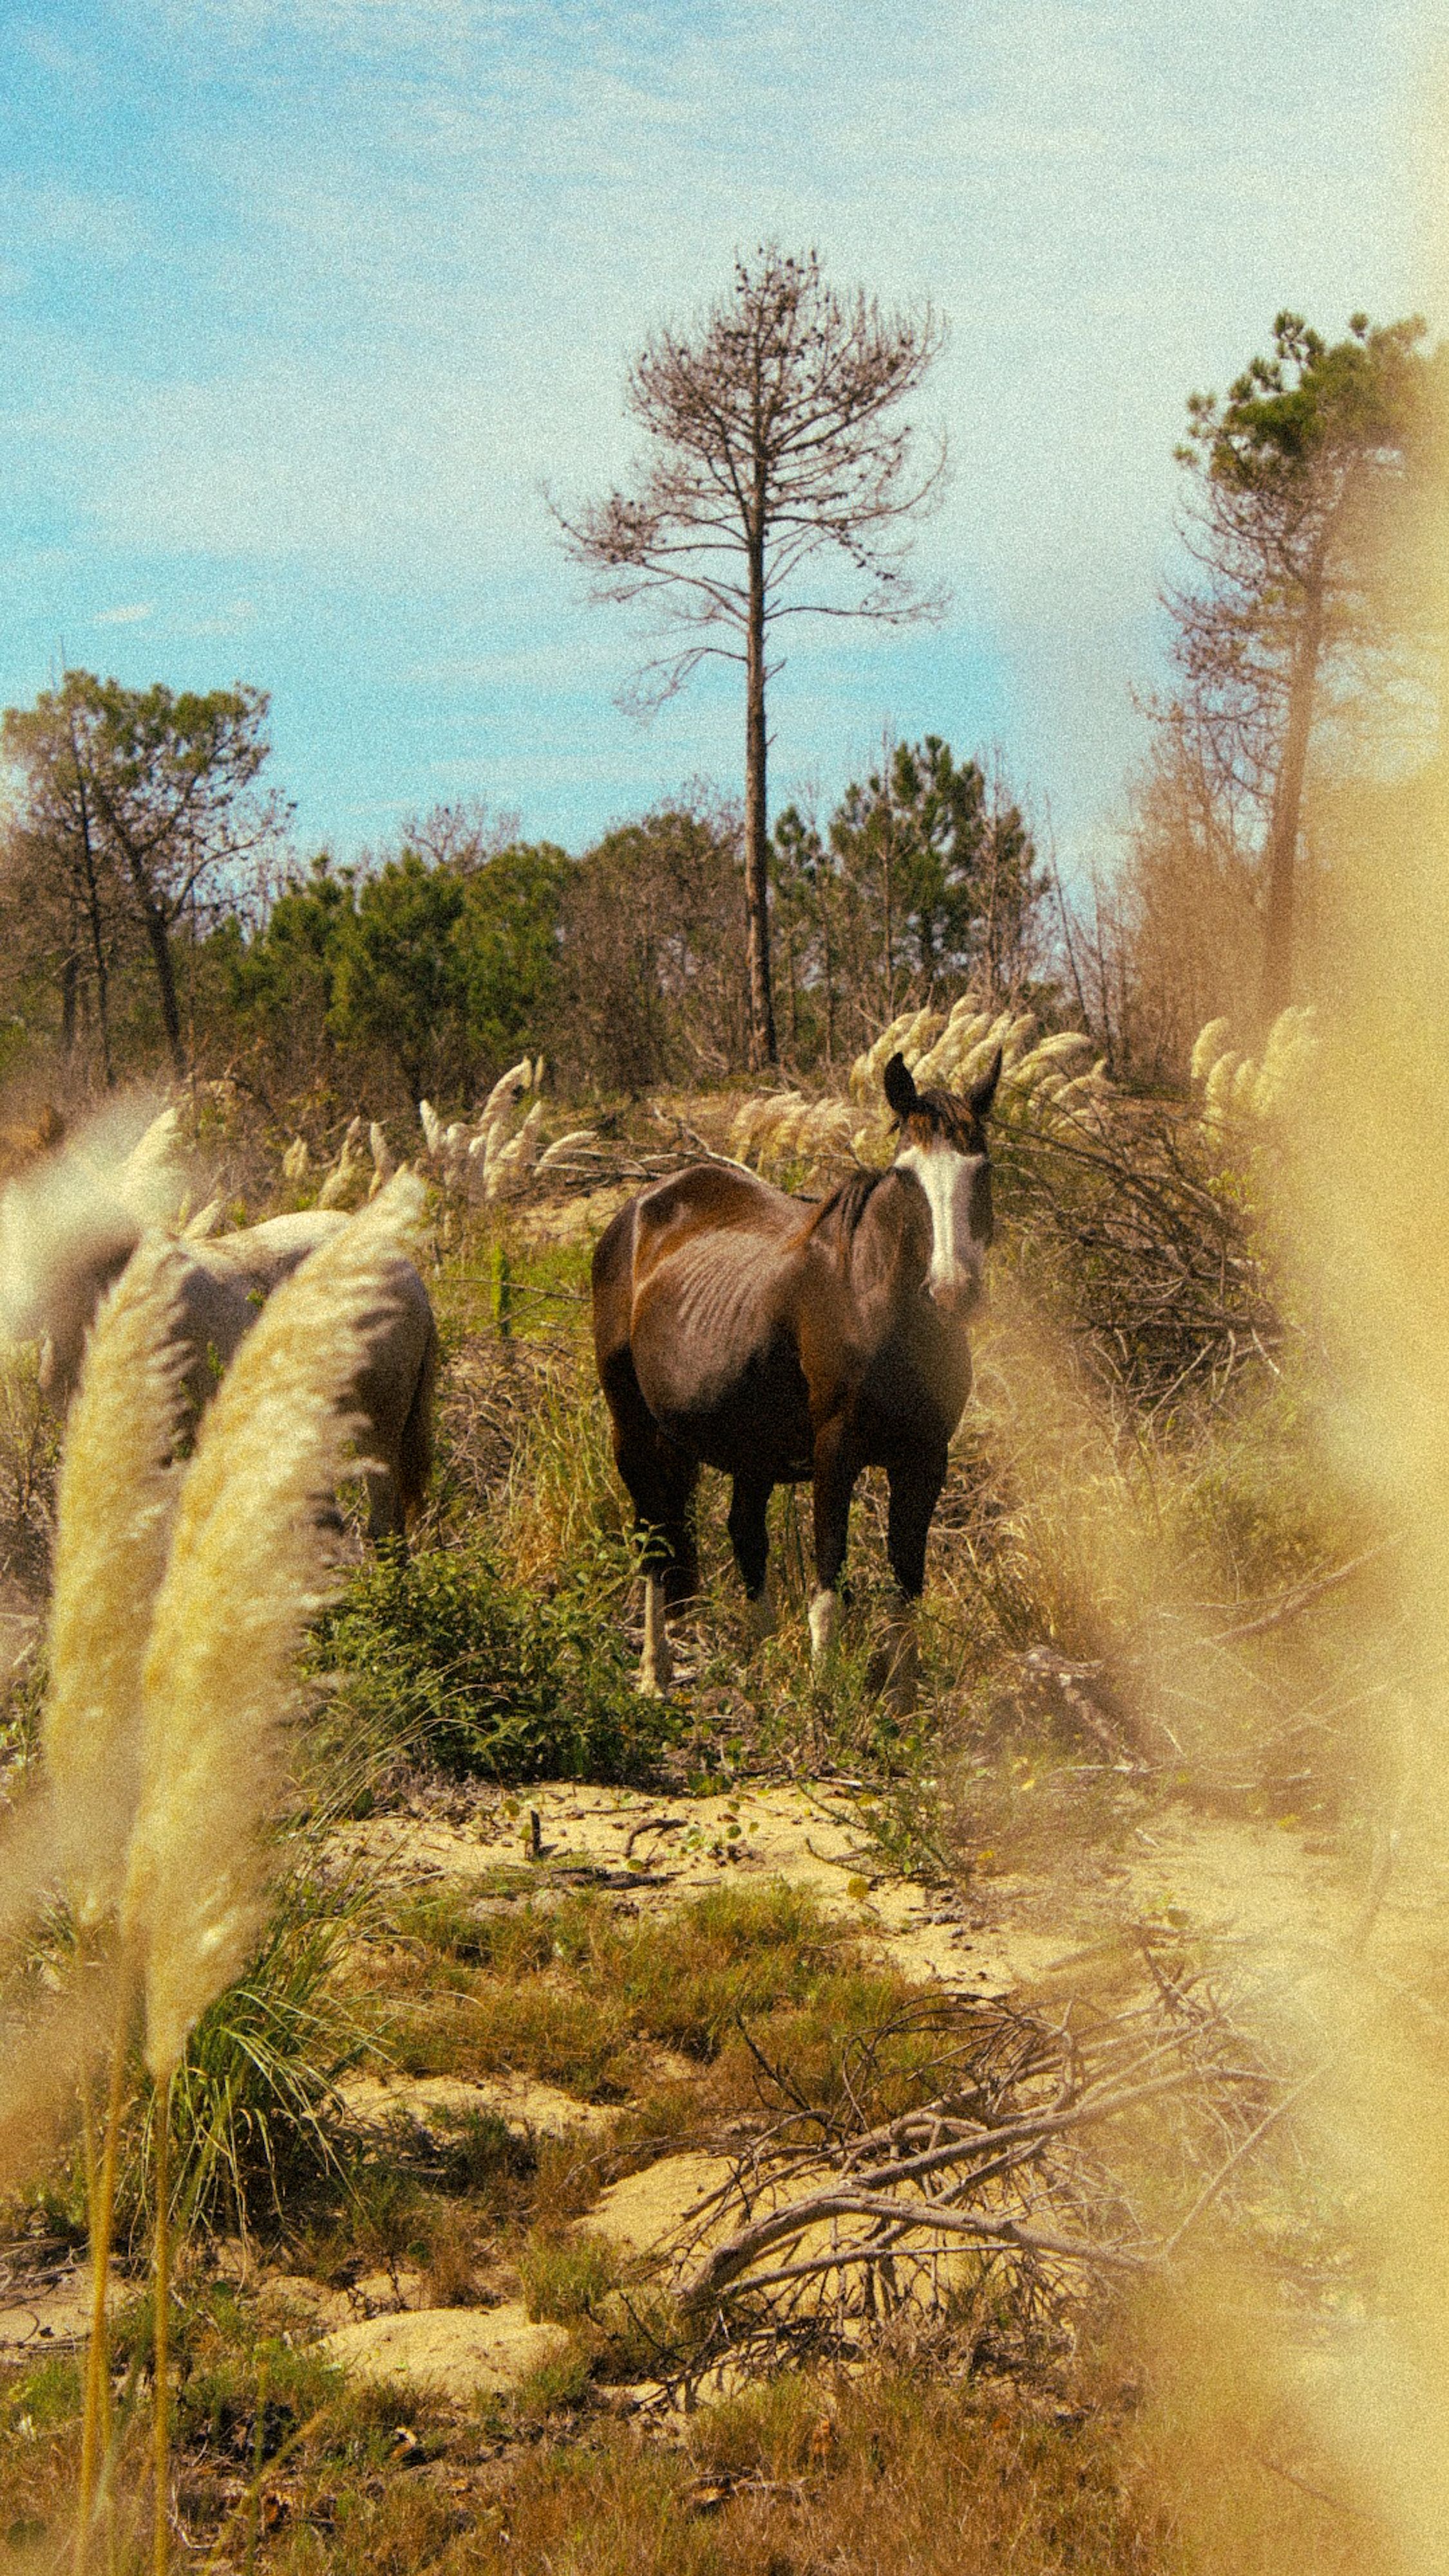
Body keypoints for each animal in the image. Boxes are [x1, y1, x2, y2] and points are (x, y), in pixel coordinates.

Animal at [592, 1046, 1002, 1702]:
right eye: (906, 1176)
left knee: (744, 1534)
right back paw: (655, 1674)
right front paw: (824, 1698)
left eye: (981, 1169)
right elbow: (828, 1573)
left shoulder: (926, 1457)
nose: (952, 1290)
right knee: (654, 1538)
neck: (872, 1301)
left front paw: (904, 1703)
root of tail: (639, 1211)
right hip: (632, 1429)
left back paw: (760, 1673)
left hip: (748, 1448)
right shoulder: (835, 1453)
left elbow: (907, 1577)